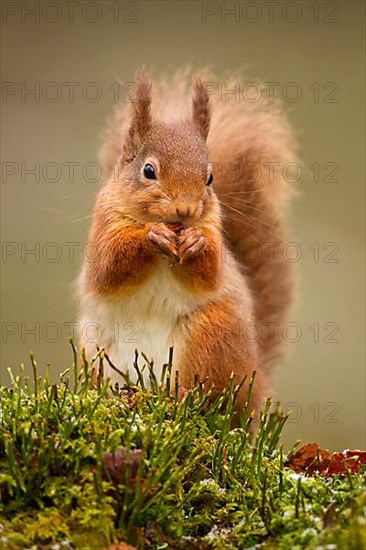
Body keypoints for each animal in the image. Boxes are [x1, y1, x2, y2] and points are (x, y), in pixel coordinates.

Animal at [76, 70, 294, 418]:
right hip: (97, 346)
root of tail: (256, 383)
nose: (186, 210)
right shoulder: (104, 227)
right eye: (148, 170)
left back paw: (180, 398)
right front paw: (151, 237)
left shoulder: (215, 233)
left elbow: (211, 273)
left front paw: (196, 242)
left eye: (210, 178)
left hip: (210, 336)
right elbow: (109, 267)